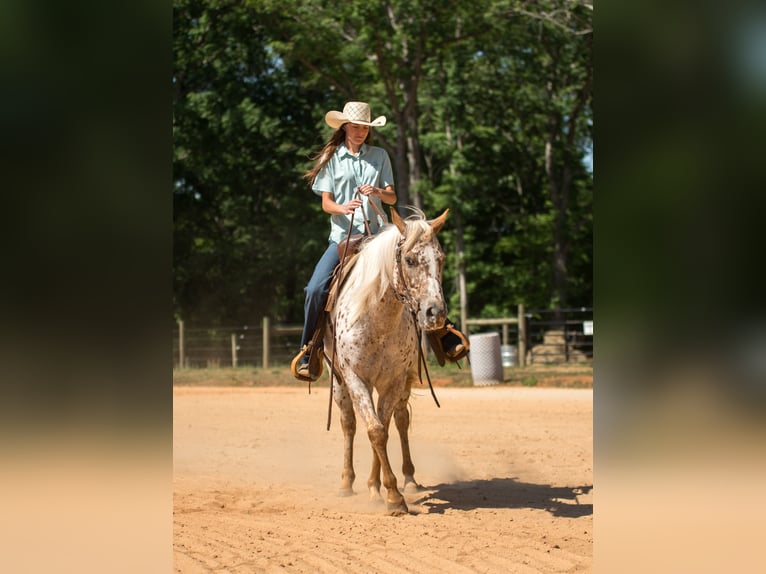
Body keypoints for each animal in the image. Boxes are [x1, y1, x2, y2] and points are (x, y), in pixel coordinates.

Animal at [324, 207, 449, 515]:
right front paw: (389, 495)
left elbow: (384, 428)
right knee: (349, 424)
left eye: (441, 258)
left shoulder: (394, 380)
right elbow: (375, 430)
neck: (377, 319)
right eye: (410, 260)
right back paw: (347, 483)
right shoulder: (355, 378)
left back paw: (406, 480)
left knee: (400, 420)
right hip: (339, 382)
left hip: (399, 384)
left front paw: (386, 490)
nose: (435, 312)